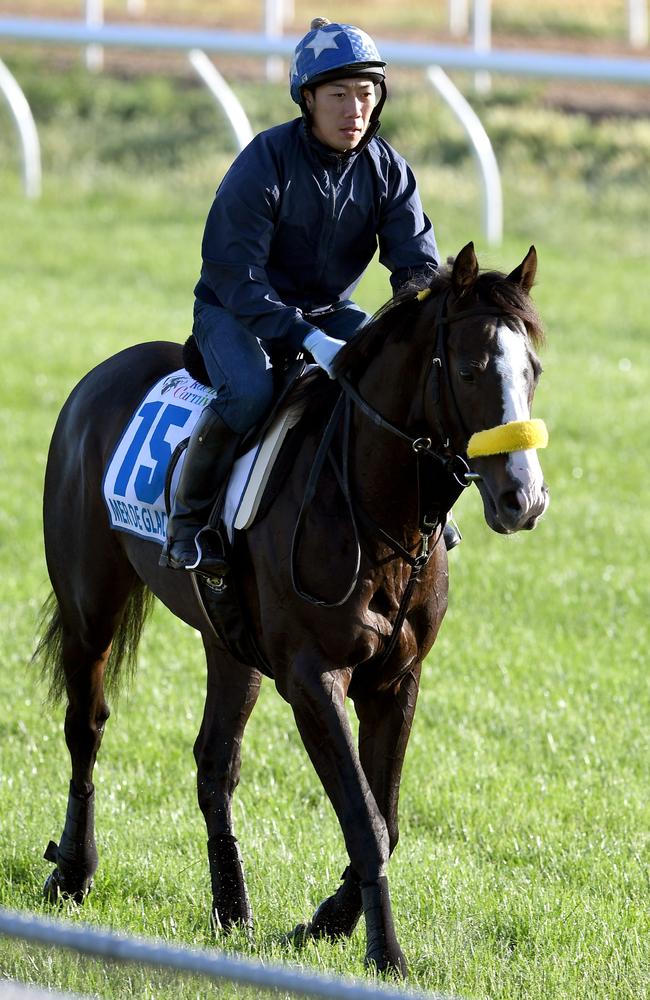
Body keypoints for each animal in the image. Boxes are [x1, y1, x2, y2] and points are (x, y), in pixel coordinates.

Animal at [35, 242, 548, 976]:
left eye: (533, 370)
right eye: (473, 369)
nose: (523, 500)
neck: (373, 513)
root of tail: (96, 381)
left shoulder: (397, 679)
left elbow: (388, 820)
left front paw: (328, 923)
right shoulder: (312, 677)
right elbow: (365, 819)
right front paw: (384, 951)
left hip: (228, 643)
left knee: (214, 762)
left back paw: (231, 907)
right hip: (89, 608)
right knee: (87, 729)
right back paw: (73, 872)